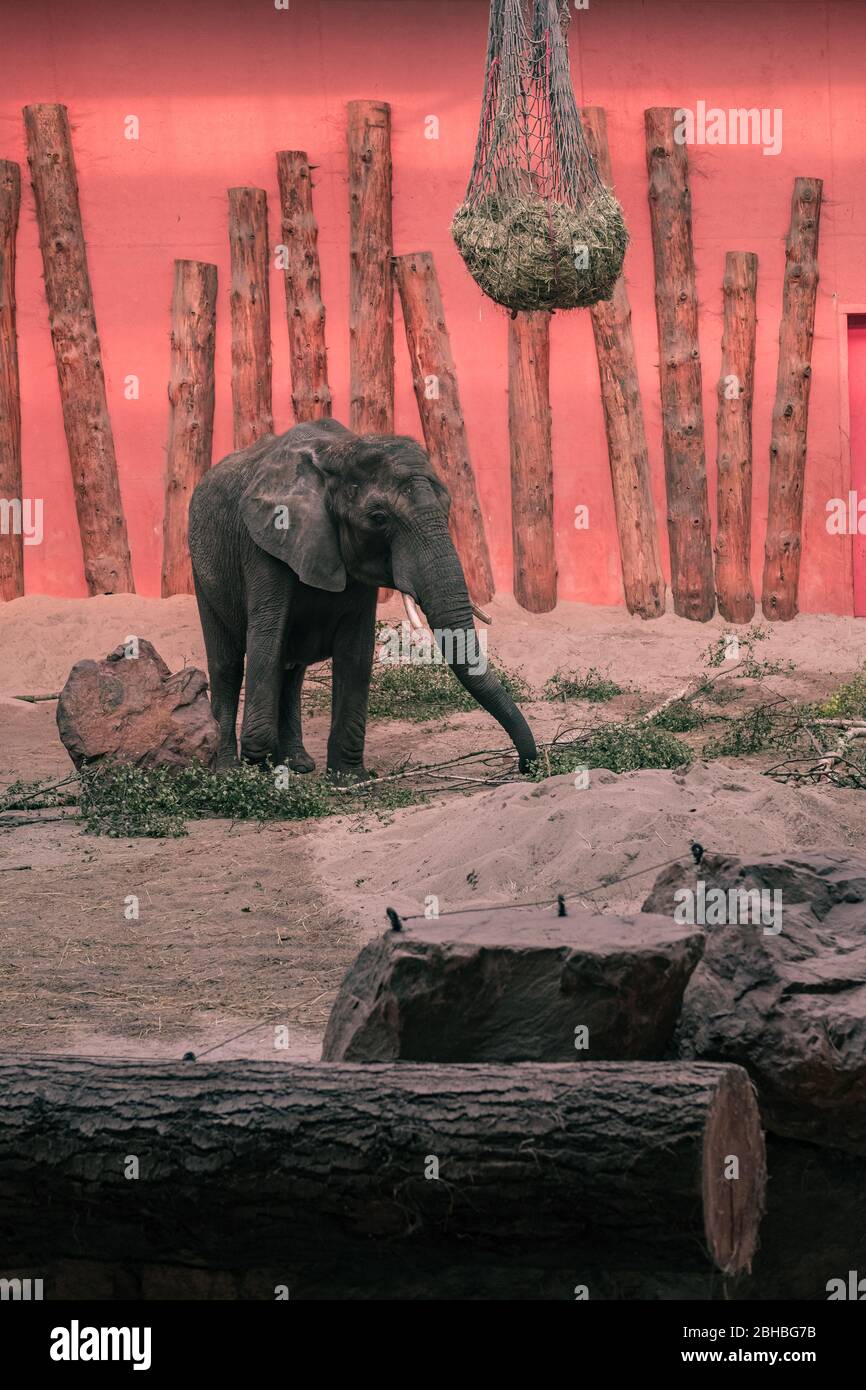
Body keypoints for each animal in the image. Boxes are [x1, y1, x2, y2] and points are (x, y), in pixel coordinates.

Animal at [188, 418, 538, 779]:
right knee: (228, 664)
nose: (526, 766)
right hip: (202, 566)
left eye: (448, 509)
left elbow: (356, 651)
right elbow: (267, 639)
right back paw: (227, 771)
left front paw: (347, 778)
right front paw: (258, 767)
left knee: (292, 669)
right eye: (379, 519)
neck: (340, 451)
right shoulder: (265, 543)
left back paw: (298, 764)